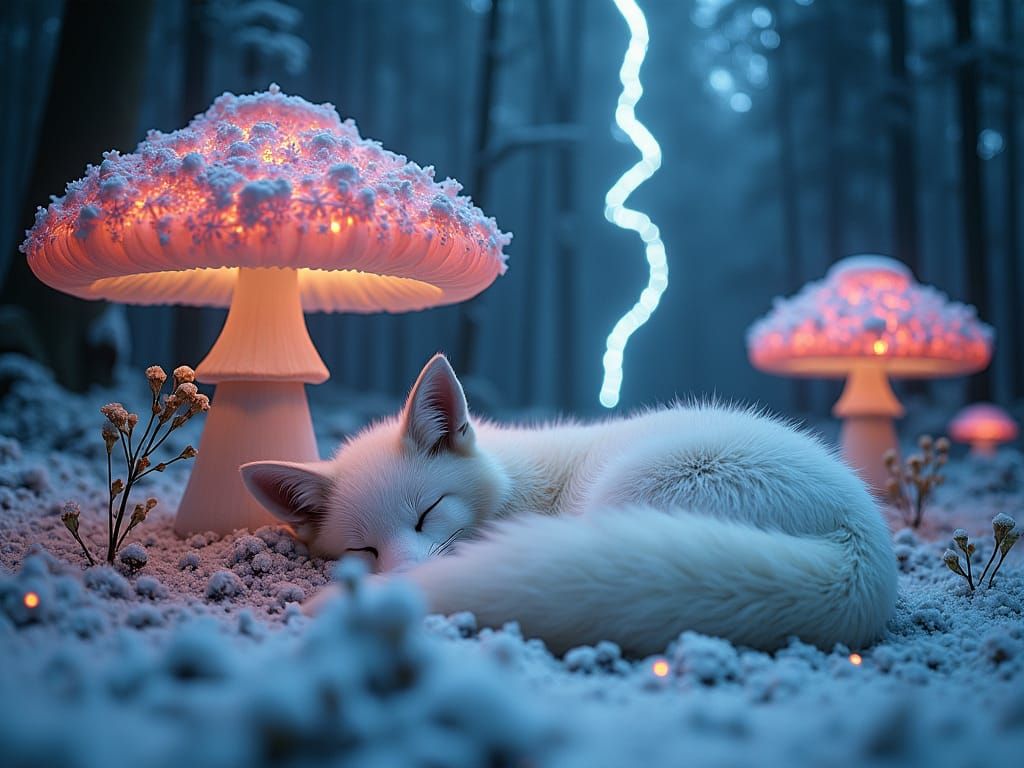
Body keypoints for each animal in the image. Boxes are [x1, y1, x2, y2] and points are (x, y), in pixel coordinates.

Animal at [241, 354, 897, 656]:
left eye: (428, 514)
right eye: (364, 549)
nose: (403, 583)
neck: (517, 484)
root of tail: (863, 551)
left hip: (635, 492)